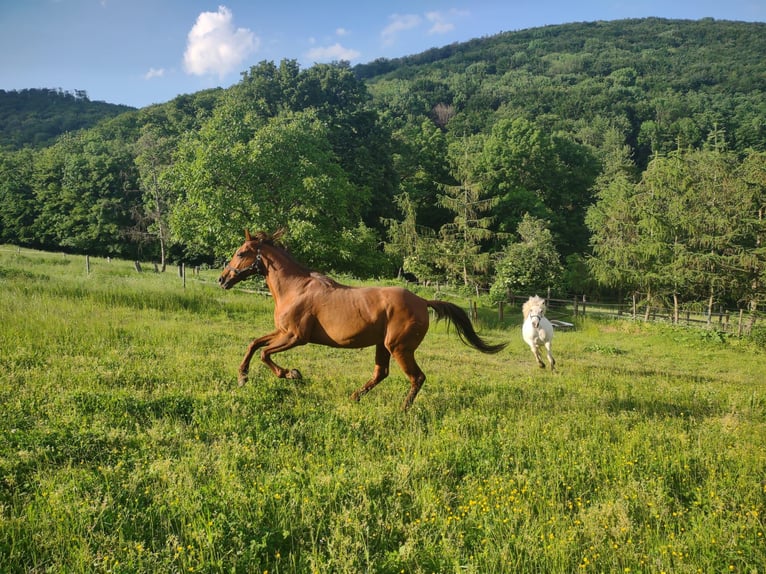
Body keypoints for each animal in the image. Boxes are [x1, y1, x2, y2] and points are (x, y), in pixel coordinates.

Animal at [218, 229, 507, 410]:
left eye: (241, 252)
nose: (222, 279)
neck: (295, 289)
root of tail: (423, 301)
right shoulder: (281, 331)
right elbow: (254, 344)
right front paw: (242, 377)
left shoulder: (295, 337)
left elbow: (265, 353)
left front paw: (292, 374)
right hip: (383, 346)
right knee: (381, 373)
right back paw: (354, 397)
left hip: (399, 348)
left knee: (417, 377)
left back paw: (403, 409)